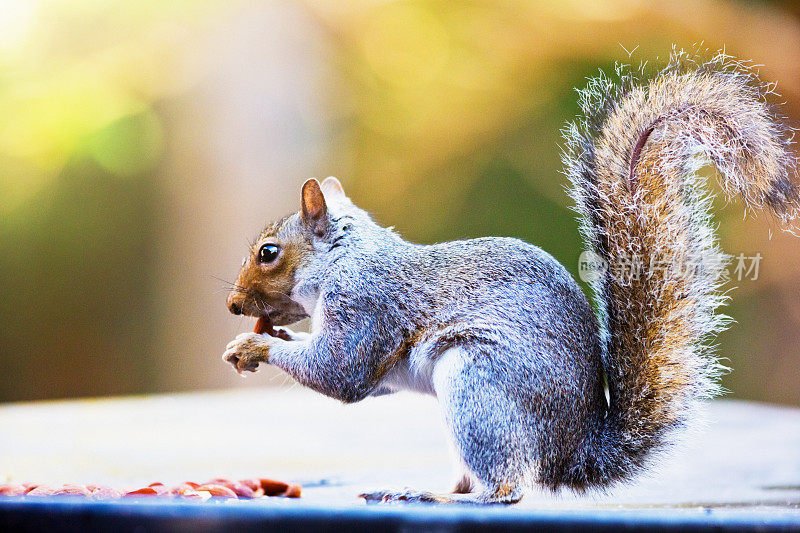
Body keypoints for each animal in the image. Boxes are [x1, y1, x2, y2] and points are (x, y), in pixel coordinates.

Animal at [220, 52, 800, 504]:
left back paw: (438, 496)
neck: (345, 257)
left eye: (268, 253)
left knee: (504, 490)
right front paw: (269, 337)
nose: (233, 306)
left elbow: (341, 372)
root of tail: (574, 449)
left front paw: (254, 348)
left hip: (478, 384)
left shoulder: (365, 302)